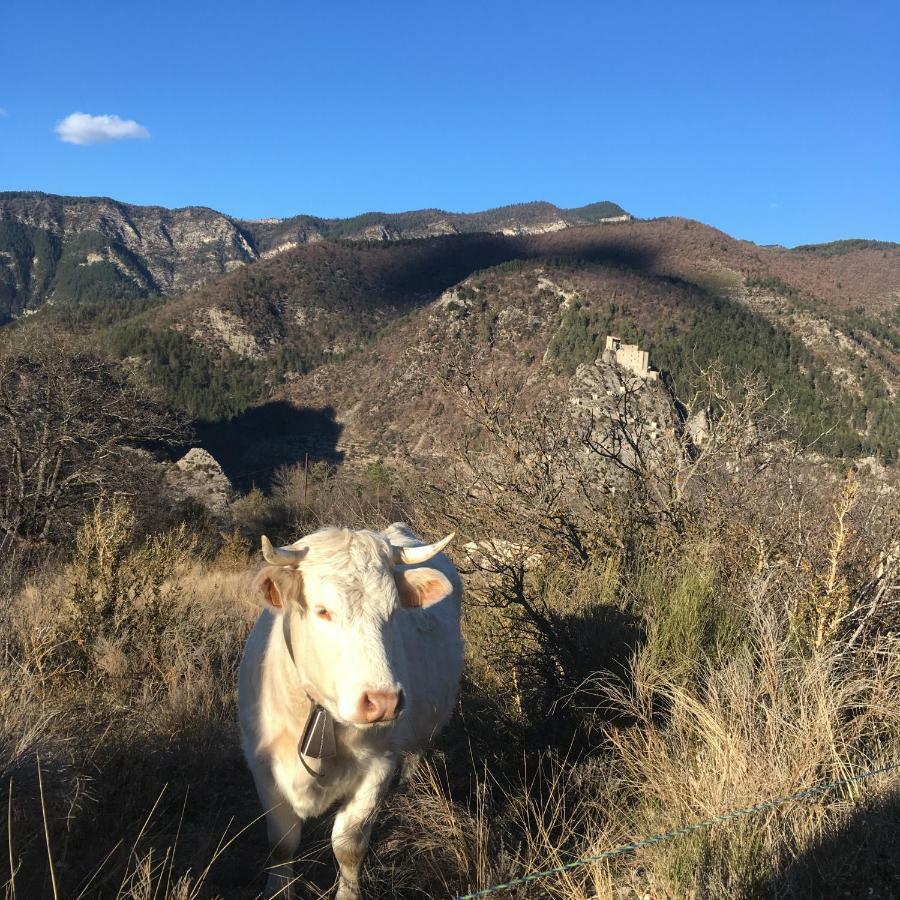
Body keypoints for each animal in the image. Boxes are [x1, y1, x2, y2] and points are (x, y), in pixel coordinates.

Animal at [237, 524, 464, 896]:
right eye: (323, 611)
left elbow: (349, 845)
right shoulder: (263, 766)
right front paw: (278, 891)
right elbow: (282, 844)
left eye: (393, 611)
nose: (383, 701)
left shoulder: (378, 767)